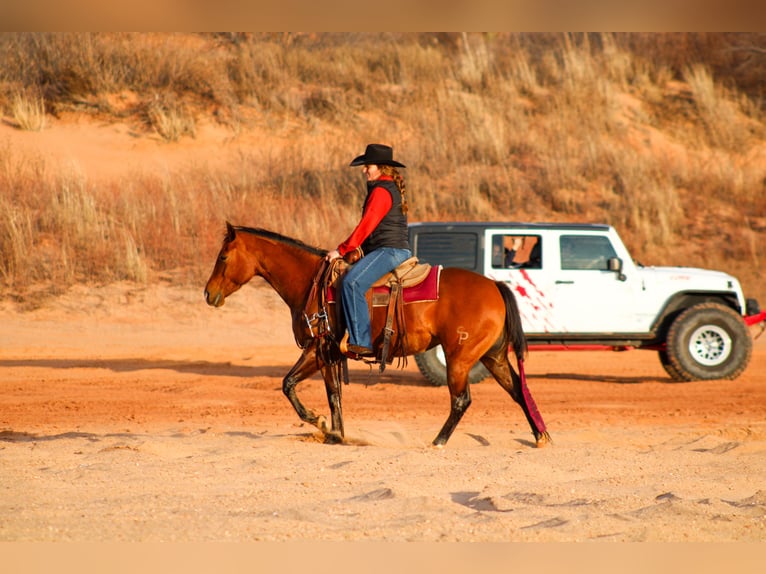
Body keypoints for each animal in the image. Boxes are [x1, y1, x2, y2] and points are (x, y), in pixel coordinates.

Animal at [204, 222, 550, 448]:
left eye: (223, 257)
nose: (208, 294)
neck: (310, 283)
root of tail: (494, 285)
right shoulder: (328, 354)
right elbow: (332, 395)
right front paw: (336, 435)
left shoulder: (317, 349)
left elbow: (290, 385)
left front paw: (320, 423)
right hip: (493, 356)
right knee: (517, 389)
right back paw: (540, 436)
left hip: (459, 359)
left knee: (461, 399)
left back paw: (438, 441)